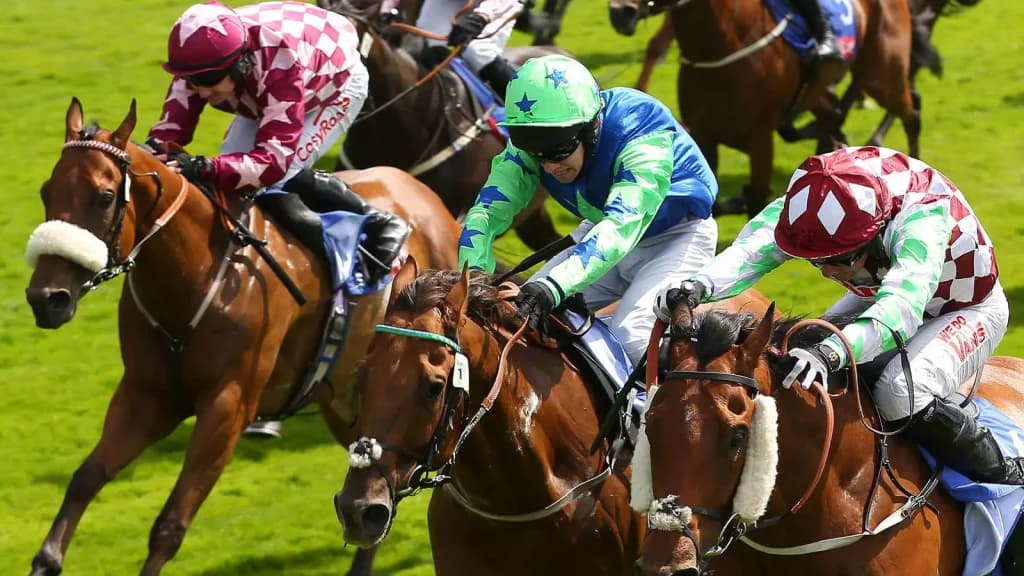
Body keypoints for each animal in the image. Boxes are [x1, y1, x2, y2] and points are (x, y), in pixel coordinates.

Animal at [23, 98, 460, 576]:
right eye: (46, 191)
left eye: (104, 197)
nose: (46, 298)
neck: (195, 273)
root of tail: (432, 202)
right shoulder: (146, 393)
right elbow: (85, 478)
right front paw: (45, 561)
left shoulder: (228, 404)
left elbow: (170, 524)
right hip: (352, 399)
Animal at [608, 0, 920, 219]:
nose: (620, 12)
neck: (722, 44)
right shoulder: (704, 135)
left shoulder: (760, 139)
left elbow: (756, 199)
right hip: (818, 91)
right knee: (832, 115)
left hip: (883, 76)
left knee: (912, 111)